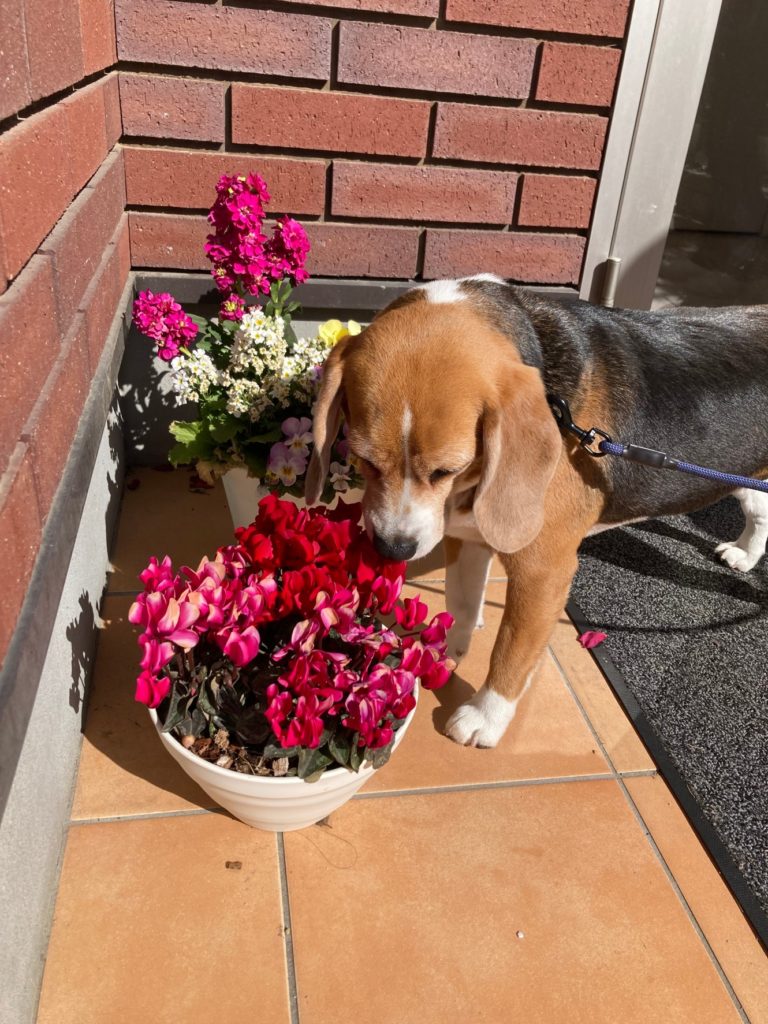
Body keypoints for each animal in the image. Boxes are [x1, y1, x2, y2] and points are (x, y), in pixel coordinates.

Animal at [305, 274, 768, 748]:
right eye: (364, 460)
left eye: (445, 470)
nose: (393, 549)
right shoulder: (467, 538)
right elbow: (462, 599)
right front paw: (449, 649)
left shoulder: (543, 571)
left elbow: (512, 647)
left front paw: (485, 716)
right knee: (759, 506)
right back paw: (745, 553)